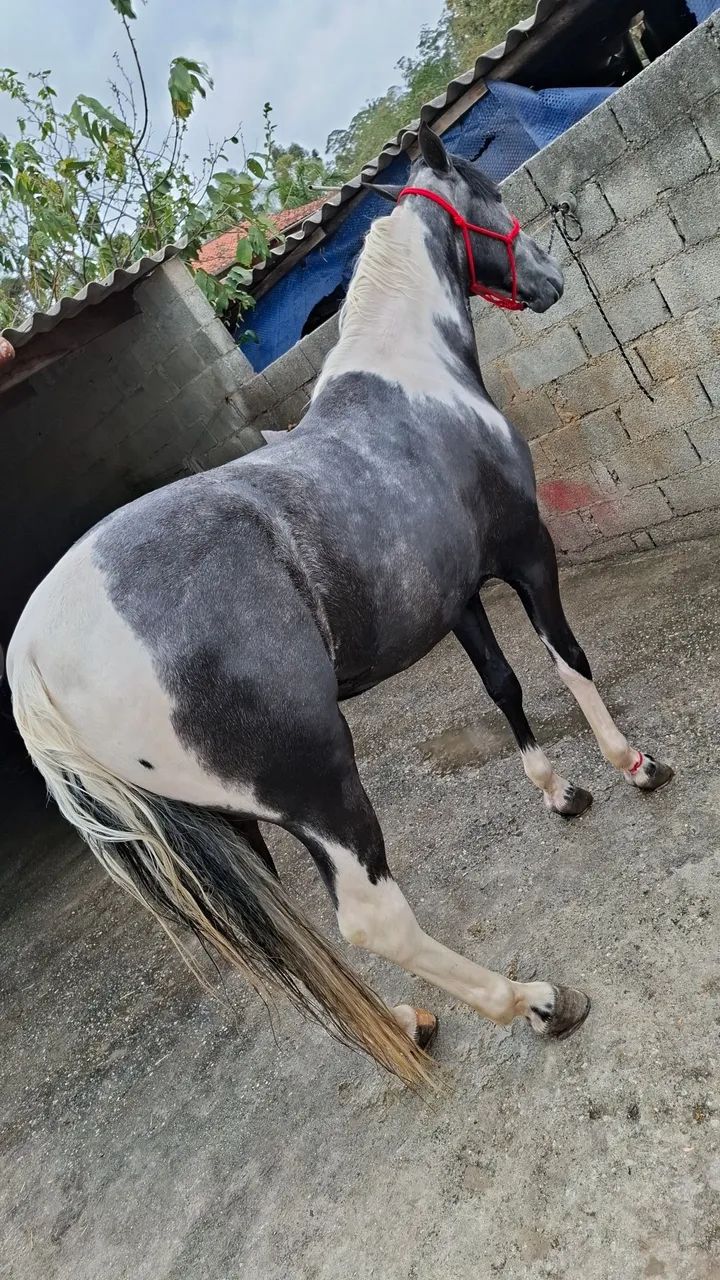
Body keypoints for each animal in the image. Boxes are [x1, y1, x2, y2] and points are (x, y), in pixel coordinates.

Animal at [7, 124, 673, 1088]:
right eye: (487, 193)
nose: (548, 281)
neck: (412, 377)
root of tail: (32, 660)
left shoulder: (454, 595)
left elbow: (504, 686)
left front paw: (559, 792)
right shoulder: (525, 554)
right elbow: (566, 659)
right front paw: (632, 765)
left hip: (238, 831)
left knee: (291, 944)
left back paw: (406, 1023)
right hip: (320, 787)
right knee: (369, 916)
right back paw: (536, 1001)